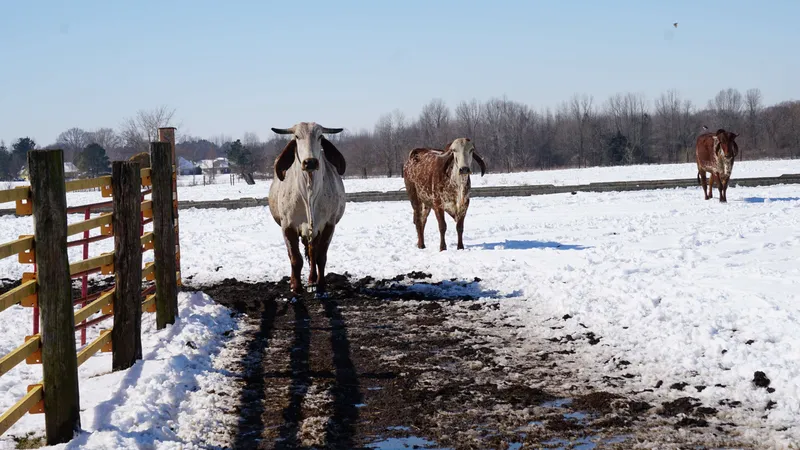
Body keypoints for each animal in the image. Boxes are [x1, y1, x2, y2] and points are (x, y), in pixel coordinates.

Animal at [268, 122, 347, 296]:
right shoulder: (287, 227)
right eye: (297, 136)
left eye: (320, 136)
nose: (310, 162)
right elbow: (295, 259)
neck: (308, 192)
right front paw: (296, 287)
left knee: (312, 252)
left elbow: (320, 257)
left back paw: (312, 281)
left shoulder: (328, 225)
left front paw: (320, 285)